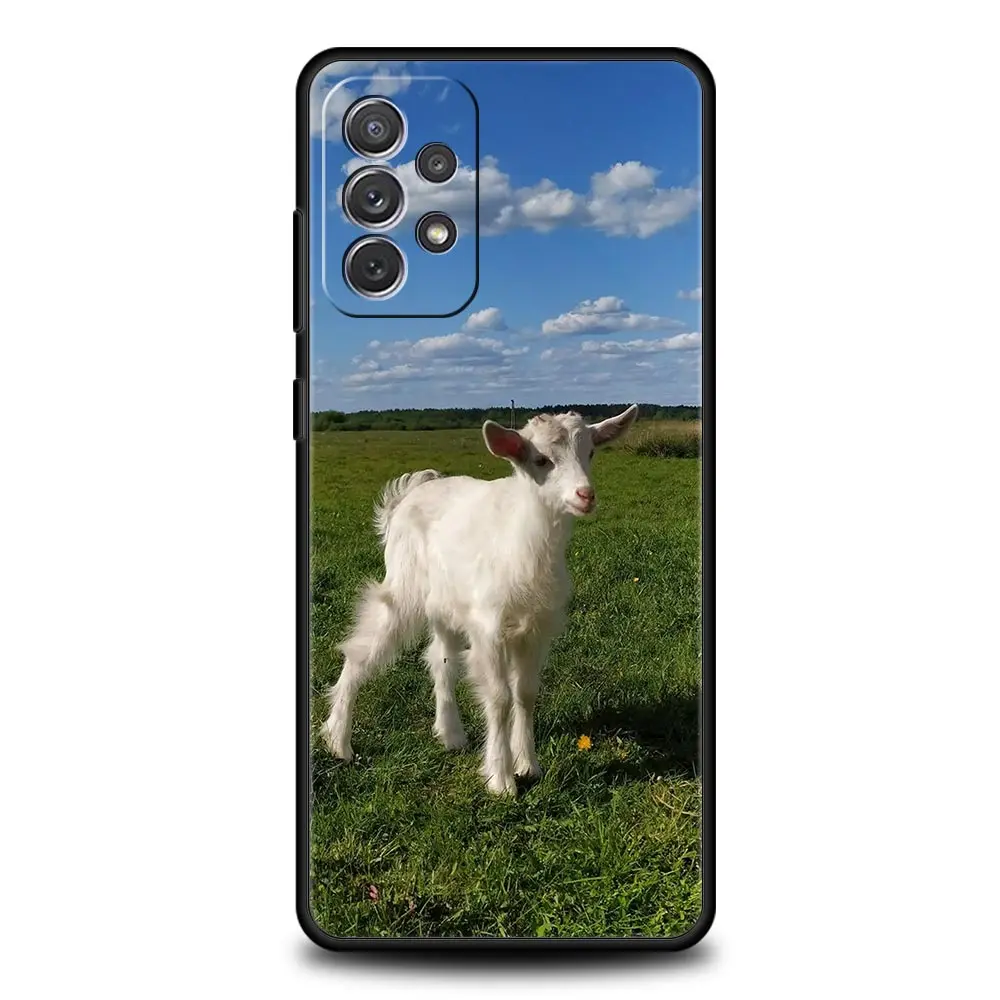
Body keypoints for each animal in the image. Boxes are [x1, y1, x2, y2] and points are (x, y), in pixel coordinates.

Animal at [320, 404, 638, 794]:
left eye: (591, 452)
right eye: (541, 459)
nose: (585, 495)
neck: (524, 543)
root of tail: (409, 493)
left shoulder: (536, 626)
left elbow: (526, 693)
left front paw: (529, 765)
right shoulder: (489, 626)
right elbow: (499, 697)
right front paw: (501, 779)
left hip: (446, 603)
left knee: (439, 658)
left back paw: (451, 735)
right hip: (403, 585)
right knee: (360, 649)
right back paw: (338, 741)